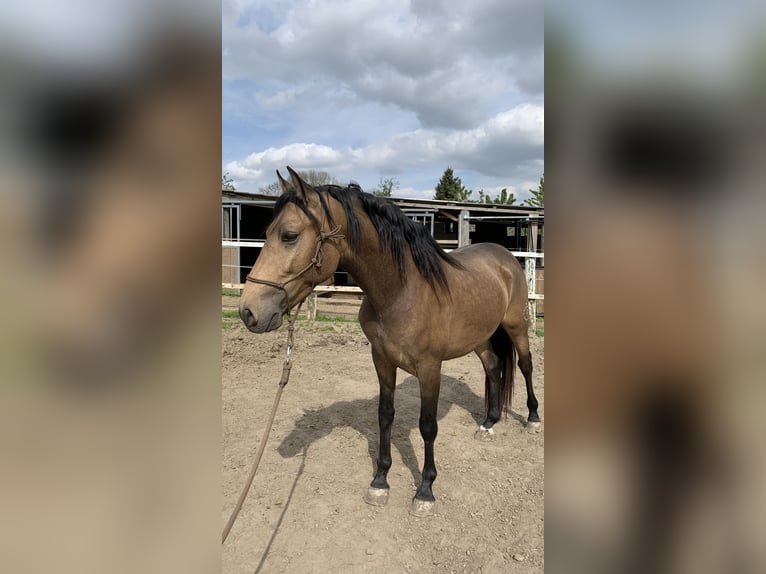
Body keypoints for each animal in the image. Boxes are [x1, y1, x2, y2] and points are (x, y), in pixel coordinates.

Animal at [240, 166, 540, 516]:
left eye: (289, 235)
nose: (248, 312)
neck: (400, 291)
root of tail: (506, 256)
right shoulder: (381, 359)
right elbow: (385, 415)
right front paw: (380, 481)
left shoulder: (430, 369)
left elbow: (427, 426)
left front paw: (425, 490)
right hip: (480, 336)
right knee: (493, 367)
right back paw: (489, 423)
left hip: (517, 326)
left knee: (525, 366)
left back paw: (532, 419)